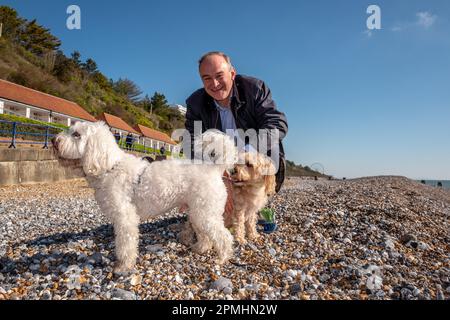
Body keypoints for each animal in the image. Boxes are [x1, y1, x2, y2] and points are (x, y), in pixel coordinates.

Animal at [52, 121, 236, 272]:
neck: (109, 167)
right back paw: (201, 248)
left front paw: (123, 266)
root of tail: (213, 169)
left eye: (76, 135)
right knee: (206, 236)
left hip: (205, 213)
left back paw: (222, 258)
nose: (54, 140)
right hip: (198, 213)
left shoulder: (125, 219)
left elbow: (125, 245)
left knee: (224, 237)